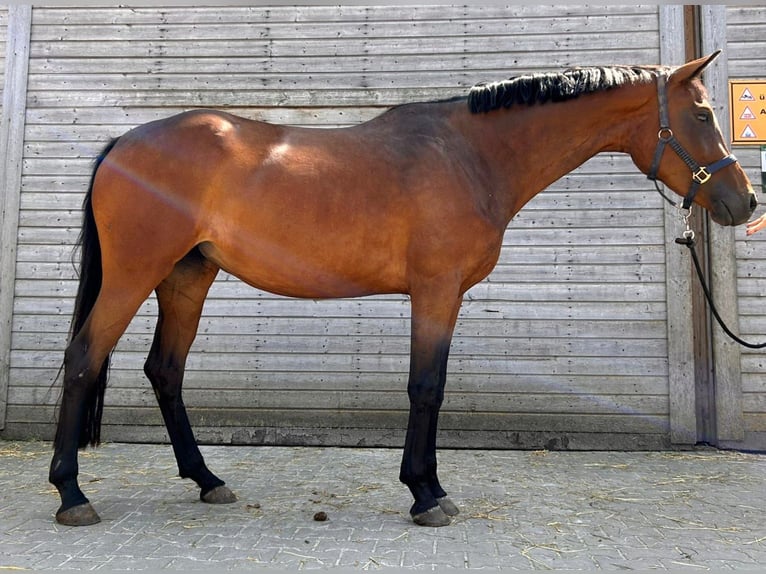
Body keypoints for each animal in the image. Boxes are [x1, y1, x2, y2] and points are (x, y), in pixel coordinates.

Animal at [48, 51, 756, 528]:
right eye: (701, 114)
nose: (744, 201)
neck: (470, 156)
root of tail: (124, 142)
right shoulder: (436, 291)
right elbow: (426, 388)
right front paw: (424, 494)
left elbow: (431, 387)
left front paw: (431, 488)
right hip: (136, 274)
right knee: (83, 359)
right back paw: (72, 494)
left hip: (187, 278)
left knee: (165, 371)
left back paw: (206, 479)